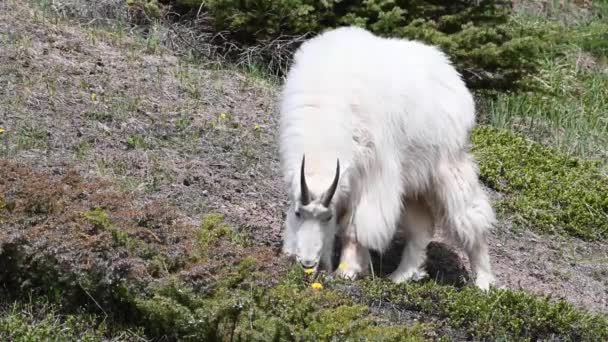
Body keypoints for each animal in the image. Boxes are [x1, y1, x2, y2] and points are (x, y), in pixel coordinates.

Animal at [278, 26, 496, 290]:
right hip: (413, 182)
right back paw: (402, 275)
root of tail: (452, 75)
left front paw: (347, 270)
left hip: (448, 165)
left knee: (471, 217)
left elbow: (355, 228)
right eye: (299, 213)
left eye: (327, 216)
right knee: (422, 227)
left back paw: (484, 282)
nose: (308, 263)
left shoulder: (372, 174)